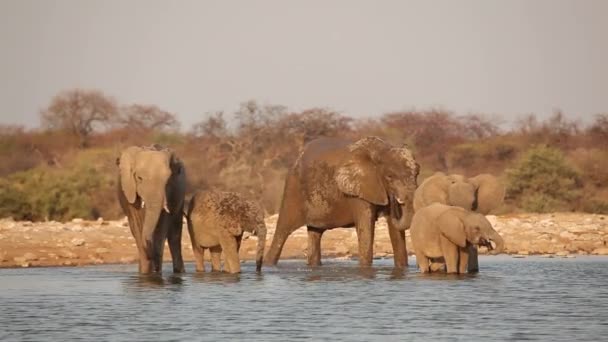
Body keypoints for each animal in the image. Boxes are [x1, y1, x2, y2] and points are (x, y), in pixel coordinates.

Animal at [116, 146, 186, 274]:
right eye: (139, 178)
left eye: (167, 180)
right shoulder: (130, 192)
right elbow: (137, 225)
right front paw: (145, 272)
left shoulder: (169, 192)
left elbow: (162, 225)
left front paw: (155, 271)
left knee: (175, 234)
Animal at [264, 136, 420, 268]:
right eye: (389, 176)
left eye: (417, 173)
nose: (394, 200)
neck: (381, 151)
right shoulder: (357, 191)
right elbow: (366, 227)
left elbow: (396, 233)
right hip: (293, 188)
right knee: (282, 232)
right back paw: (269, 265)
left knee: (315, 233)